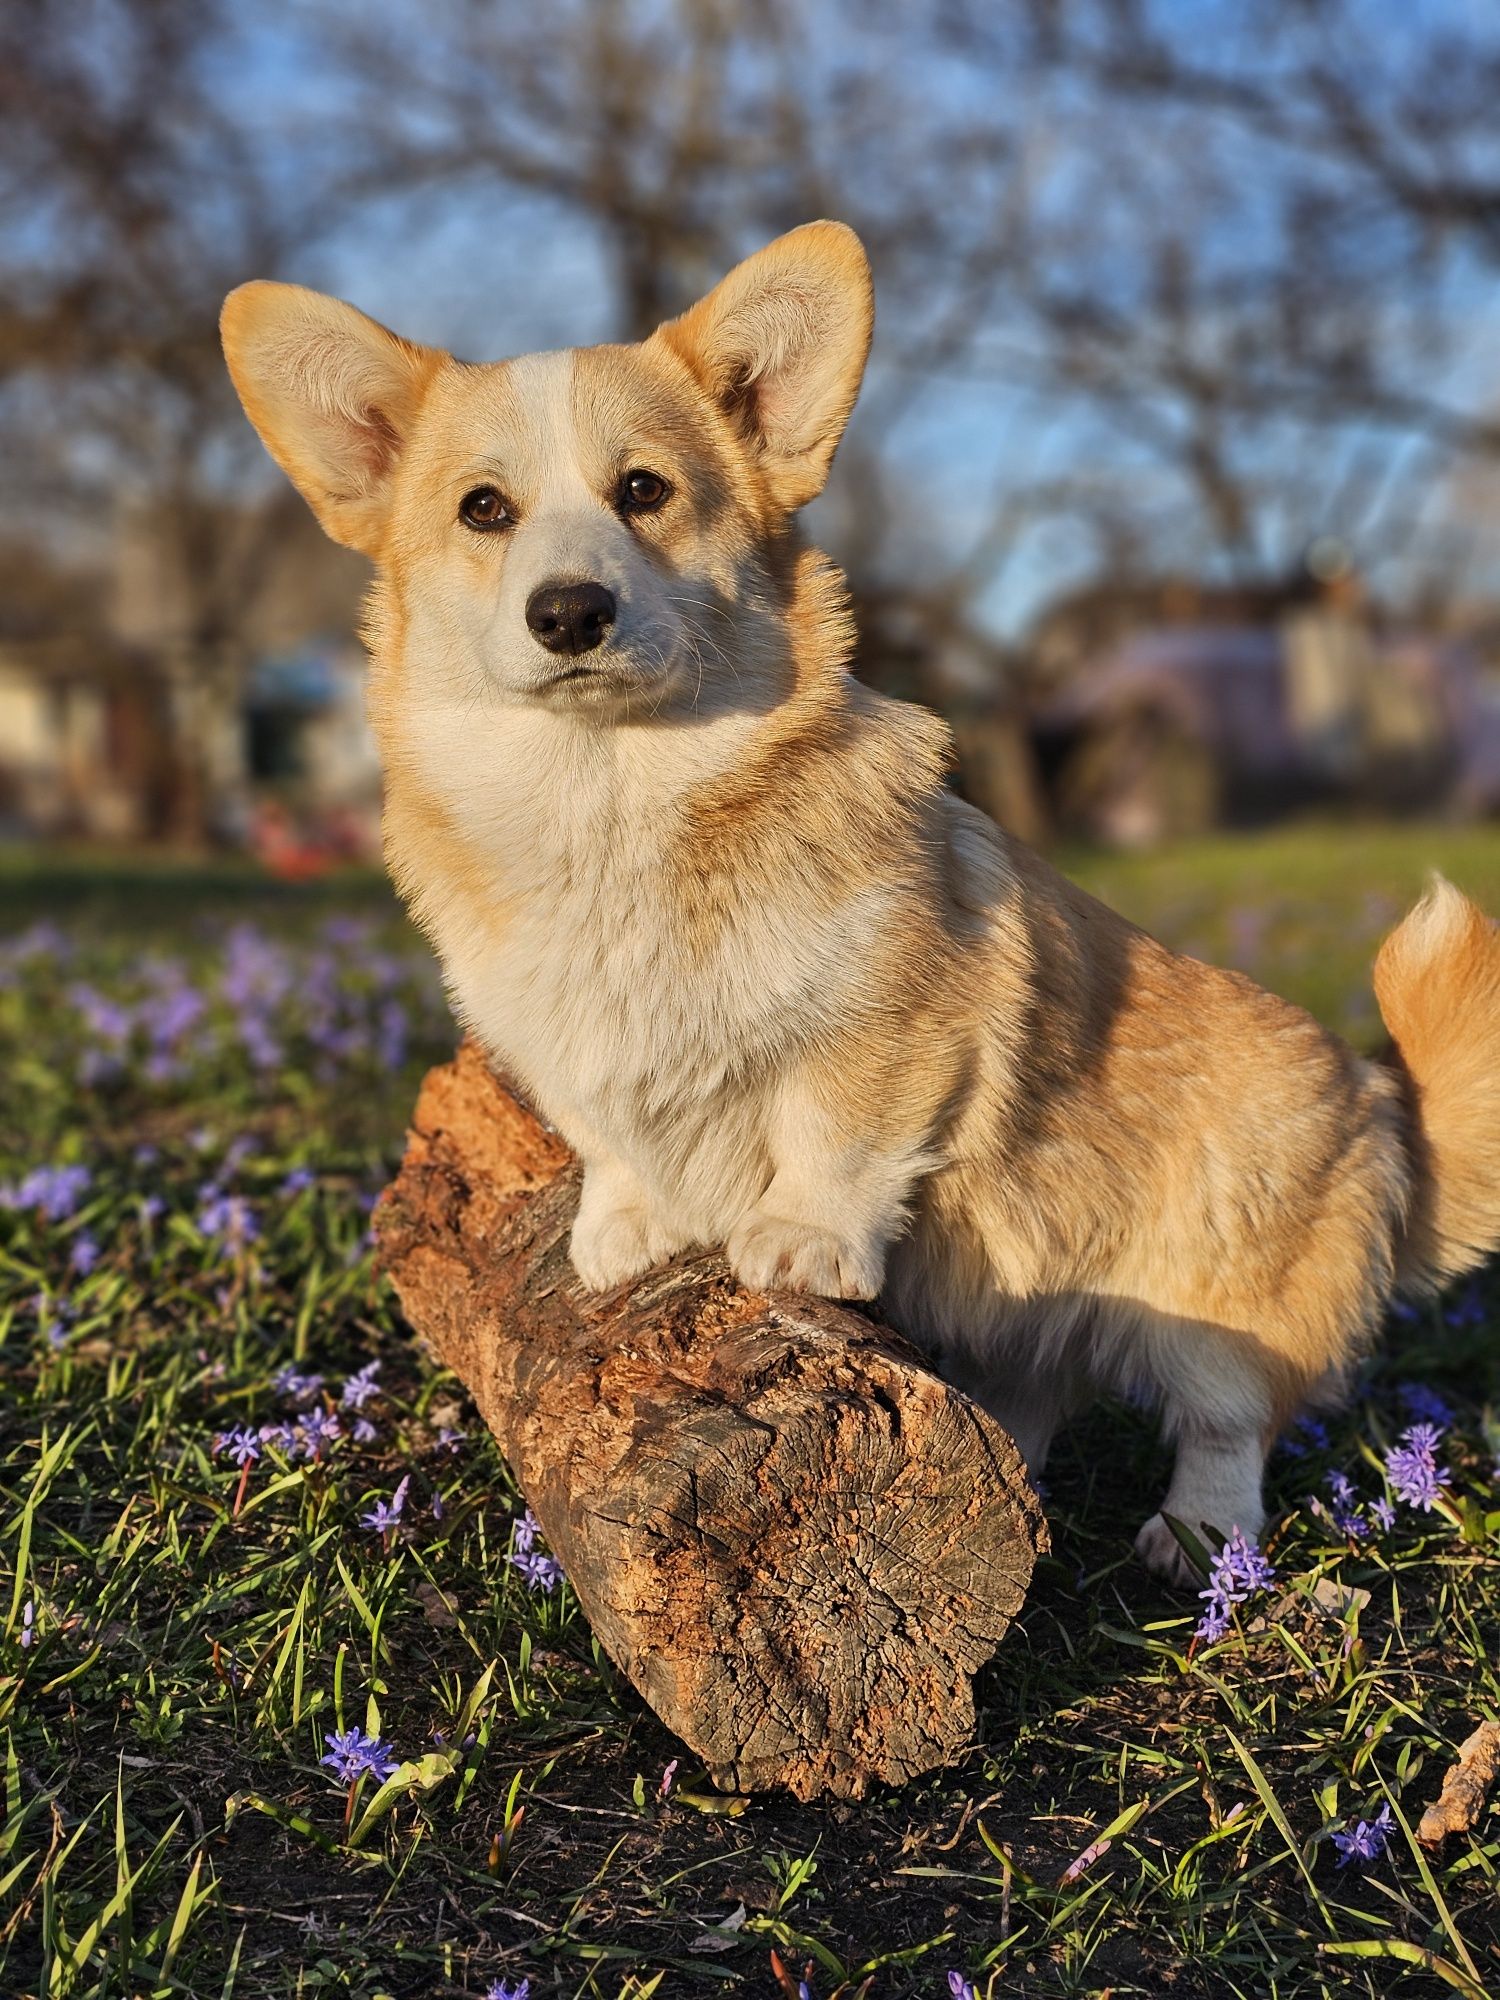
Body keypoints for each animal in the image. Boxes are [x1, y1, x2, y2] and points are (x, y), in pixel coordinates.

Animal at [220, 227, 1500, 1584]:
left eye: (644, 491)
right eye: (484, 509)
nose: (568, 610)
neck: (610, 797)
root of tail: (1387, 1109)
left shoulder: (892, 1019)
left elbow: (835, 1134)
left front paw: (799, 1238)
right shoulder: (567, 1052)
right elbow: (611, 1134)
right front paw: (624, 1226)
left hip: (1220, 1301)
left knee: (1225, 1426)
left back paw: (1198, 1537)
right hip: (1022, 1310)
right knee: (1030, 1400)